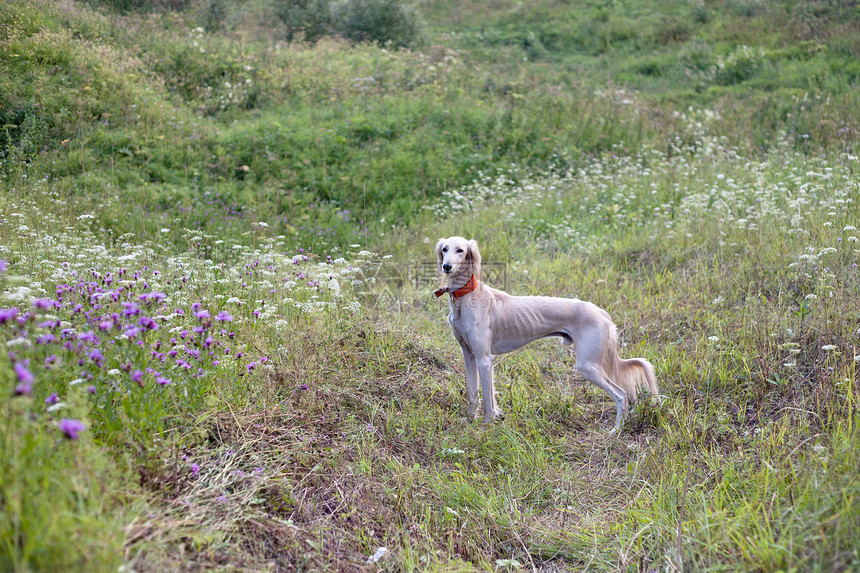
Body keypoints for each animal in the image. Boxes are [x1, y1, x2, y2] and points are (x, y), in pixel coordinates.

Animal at [436, 236, 660, 428]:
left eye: (460, 250)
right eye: (444, 249)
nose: (447, 266)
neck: (465, 297)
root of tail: (601, 312)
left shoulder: (484, 358)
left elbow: (487, 400)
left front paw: (487, 426)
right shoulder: (469, 355)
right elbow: (473, 393)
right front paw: (469, 421)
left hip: (587, 366)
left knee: (621, 394)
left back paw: (616, 431)